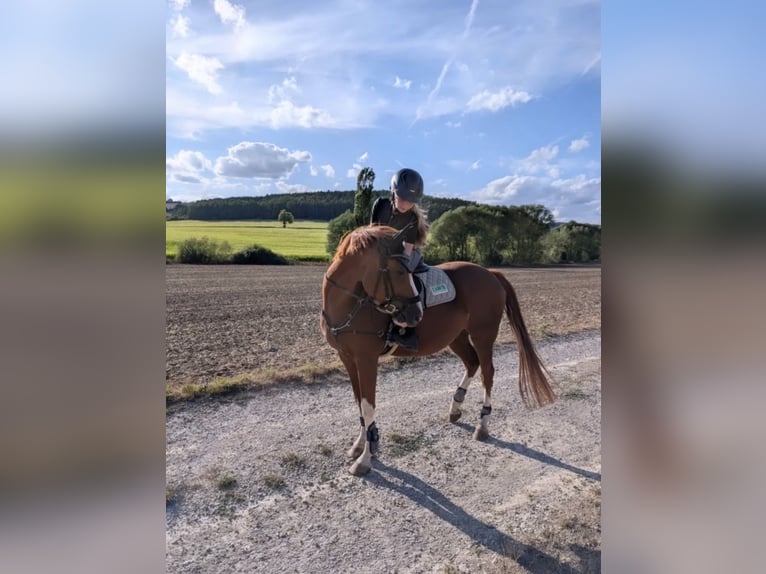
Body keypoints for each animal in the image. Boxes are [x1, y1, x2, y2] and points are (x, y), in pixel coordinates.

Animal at [320, 225, 555, 476]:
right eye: (398, 272)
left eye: (406, 271)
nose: (416, 314)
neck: (350, 304)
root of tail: (490, 273)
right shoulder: (348, 358)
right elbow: (359, 403)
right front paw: (359, 446)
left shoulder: (367, 359)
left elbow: (368, 406)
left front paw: (365, 458)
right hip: (456, 337)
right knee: (472, 363)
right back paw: (455, 407)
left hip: (483, 335)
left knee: (487, 373)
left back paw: (482, 425)